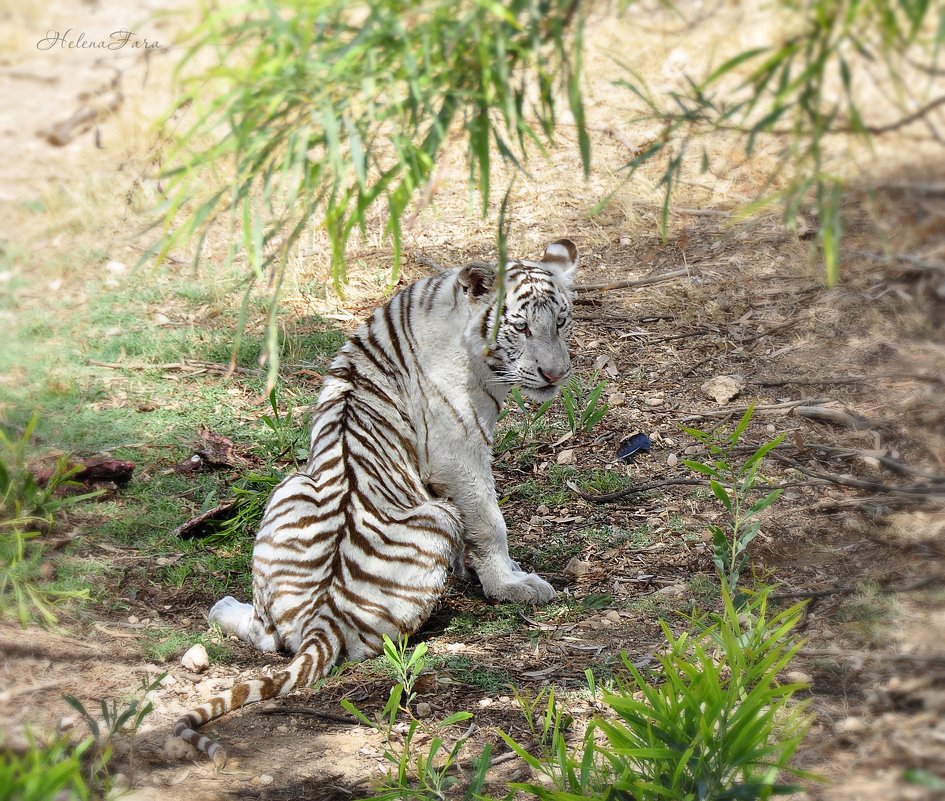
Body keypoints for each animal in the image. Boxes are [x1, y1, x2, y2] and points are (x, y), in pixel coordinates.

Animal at [173, 236, 580, 764]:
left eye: (562, 322)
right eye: (522, 327)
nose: (556, 374)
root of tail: (324, 620)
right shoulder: (458, 452)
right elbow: (489, 520)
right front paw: (511, 585)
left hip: (289, 486)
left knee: (271, 635)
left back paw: (223, 608)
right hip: (434, 517)